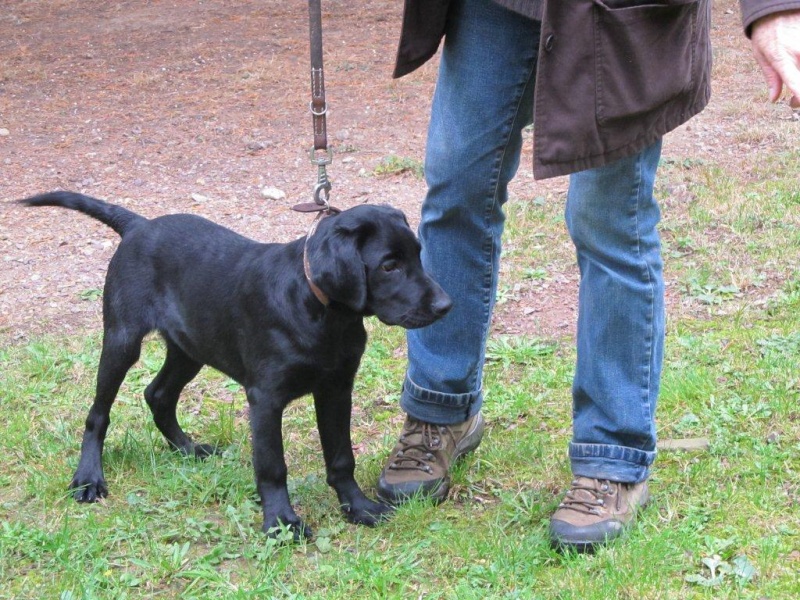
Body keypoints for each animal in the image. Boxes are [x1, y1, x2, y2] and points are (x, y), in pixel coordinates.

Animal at [18, 193, 450, 540]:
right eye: (389, 266)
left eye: (418, 254)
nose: (446, 305)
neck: (322, 312)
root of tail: (139, 225)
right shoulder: (265, 399)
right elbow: (272, 466)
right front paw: (281, 523)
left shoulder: (337, 388)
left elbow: (342, 456)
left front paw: (358, 507)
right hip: (122, 339)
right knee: (99, 414)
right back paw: (89, 478)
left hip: (190, 346)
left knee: (157, 394)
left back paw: (187, 448)